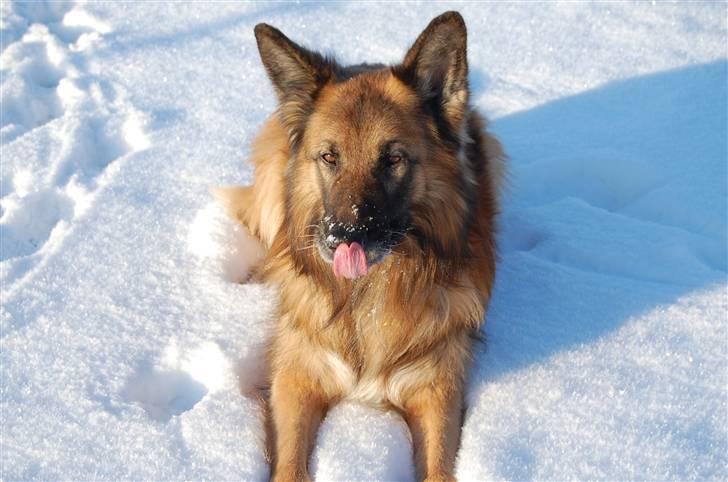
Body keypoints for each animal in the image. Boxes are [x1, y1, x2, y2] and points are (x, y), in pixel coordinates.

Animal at [216, 11, 506, 482]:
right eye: (329, 157)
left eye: (393, 159)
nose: (341, 237)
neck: (366, 296)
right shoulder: (296, 379)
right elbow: (290, 463)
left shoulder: (437, 391)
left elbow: (439, 466)